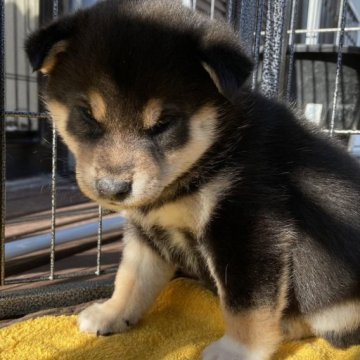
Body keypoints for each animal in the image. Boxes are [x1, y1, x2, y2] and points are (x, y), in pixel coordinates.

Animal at [25, 0, 360, 358]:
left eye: (164, 123)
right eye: (87, 114)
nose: (112, 189)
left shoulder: (250, 228)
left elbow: (246, 304)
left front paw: (236, 351)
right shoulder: (147, 233)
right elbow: (131, 279)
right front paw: (113, 313)